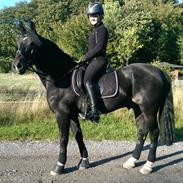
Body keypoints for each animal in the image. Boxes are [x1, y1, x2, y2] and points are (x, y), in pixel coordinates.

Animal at [11, 21, 174, 176]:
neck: (62, 77)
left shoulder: (62, 114)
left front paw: (59, 167)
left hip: (149, 109)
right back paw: (131, 161)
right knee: (142, 132)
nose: (17, 66)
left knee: (154, 133)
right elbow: (78, 136)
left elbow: (63, 139)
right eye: (19, 42)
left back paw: (148, 166)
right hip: (138, 108)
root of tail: (159, 71)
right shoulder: (72, 114)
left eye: (32, 44)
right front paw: (84, 162)